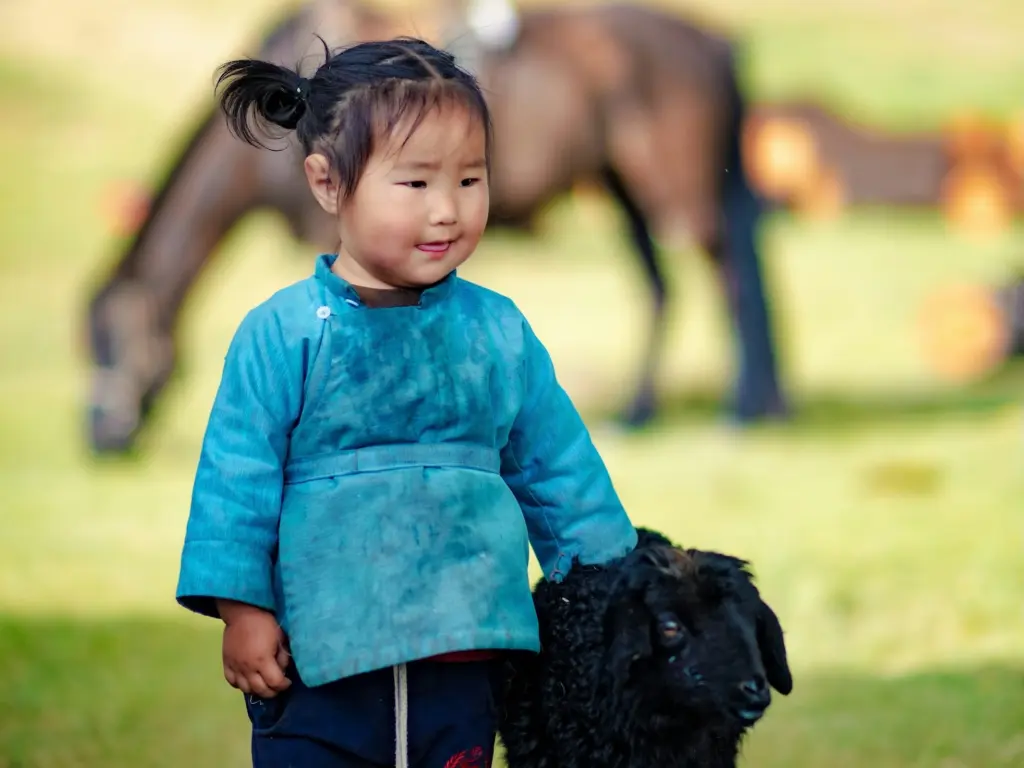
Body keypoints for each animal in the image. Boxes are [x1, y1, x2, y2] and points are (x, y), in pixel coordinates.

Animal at [84, 0, 788, 454]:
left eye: (108, 346)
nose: (98, 436)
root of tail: (716, 43)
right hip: (621, 185)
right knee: (664, 285)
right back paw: (644, 412)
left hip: (677, 186)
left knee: (731, 278)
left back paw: (738, 411)